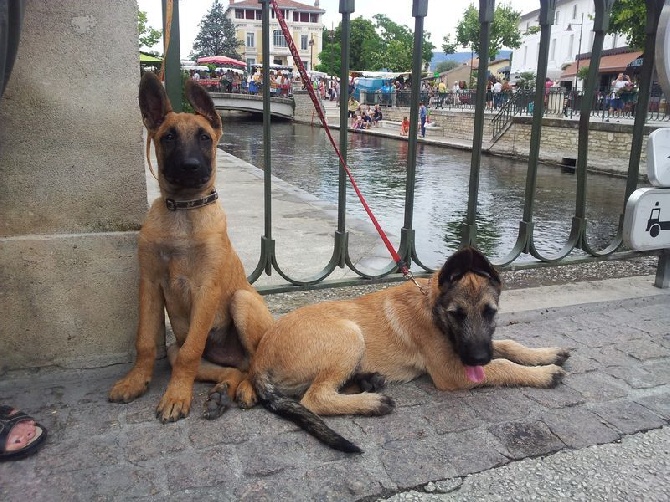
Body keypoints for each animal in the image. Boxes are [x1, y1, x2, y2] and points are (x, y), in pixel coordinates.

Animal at [107, 72, 272, 422]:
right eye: (168, 137)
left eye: (205, 138)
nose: (190, 166)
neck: (183, 211)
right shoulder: (150, 284)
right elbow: (145, 342)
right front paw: (135, 380)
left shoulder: (206, 290)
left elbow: (190, 353)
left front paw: (176, 397)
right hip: (179, 348)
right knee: (230, 368)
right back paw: (222, 392)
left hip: (241, 301)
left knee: (256, 362)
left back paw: (246, 390)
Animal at [236, 246, 568, 452]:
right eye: (456, 314)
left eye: (490, 312)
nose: (477, 358)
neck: (431, 307)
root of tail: (260, 359)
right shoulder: (451, 372)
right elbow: (502, 366)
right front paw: (543, 373)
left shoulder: (467, 350)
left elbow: (507, 345)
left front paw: (545, 354)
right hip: (349, 336)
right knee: (315, 398)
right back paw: (372, 402)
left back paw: (368, 381)